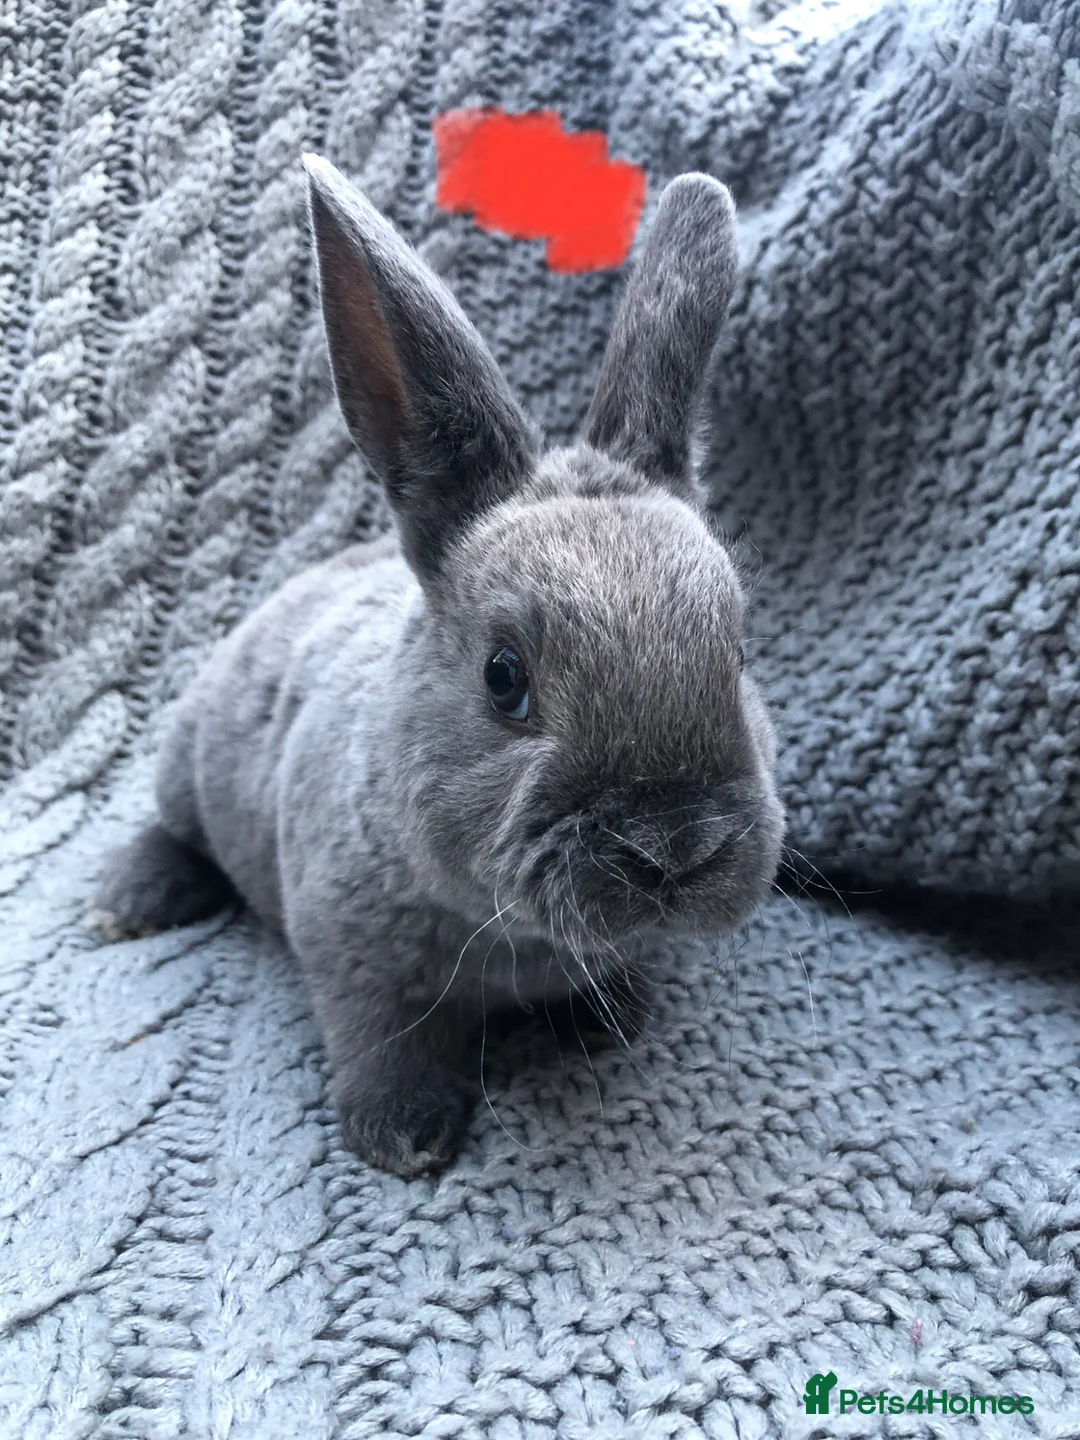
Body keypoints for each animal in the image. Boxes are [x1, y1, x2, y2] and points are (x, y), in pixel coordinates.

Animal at [88, 152, 785, 1177]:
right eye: (504, 678)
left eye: (736, 653)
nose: (675, 850)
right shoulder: (349, 954)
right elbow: (381, 1035)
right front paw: (401, 1136)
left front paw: (609, 1020)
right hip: (188, 764)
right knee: (171, 829)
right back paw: (129, 902)